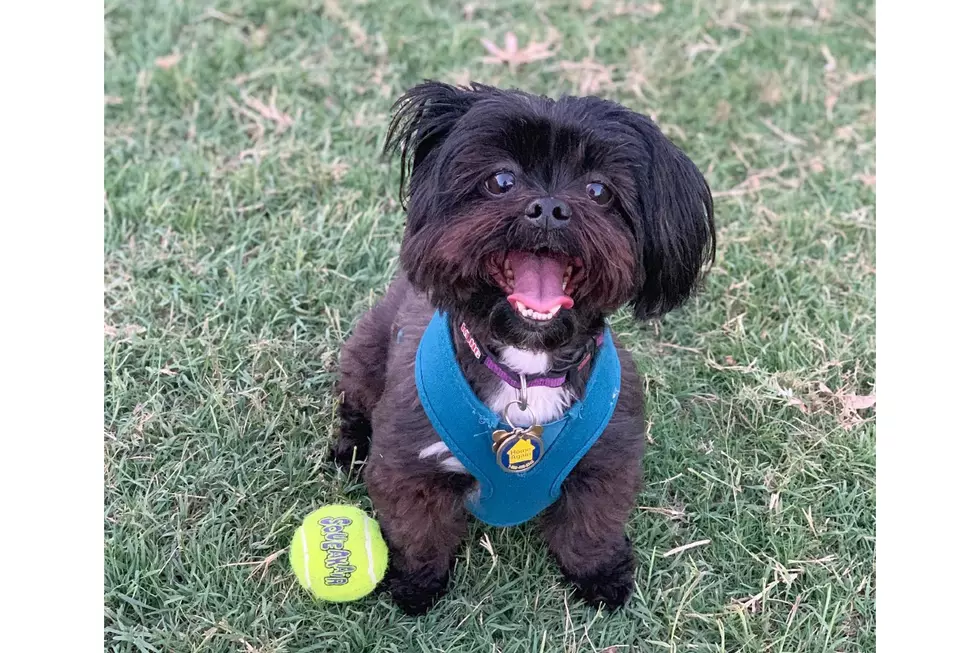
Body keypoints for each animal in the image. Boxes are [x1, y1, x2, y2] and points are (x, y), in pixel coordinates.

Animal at [334, 80, 716, 612]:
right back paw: (348, 448)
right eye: (501, 180)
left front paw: (601, 576)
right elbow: (419, 532)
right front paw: (416, 585)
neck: (524, 369)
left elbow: (589, 528)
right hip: (364, 358)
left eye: (599, 191)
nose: (550, 208)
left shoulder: (607, 462)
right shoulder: (410, 467)